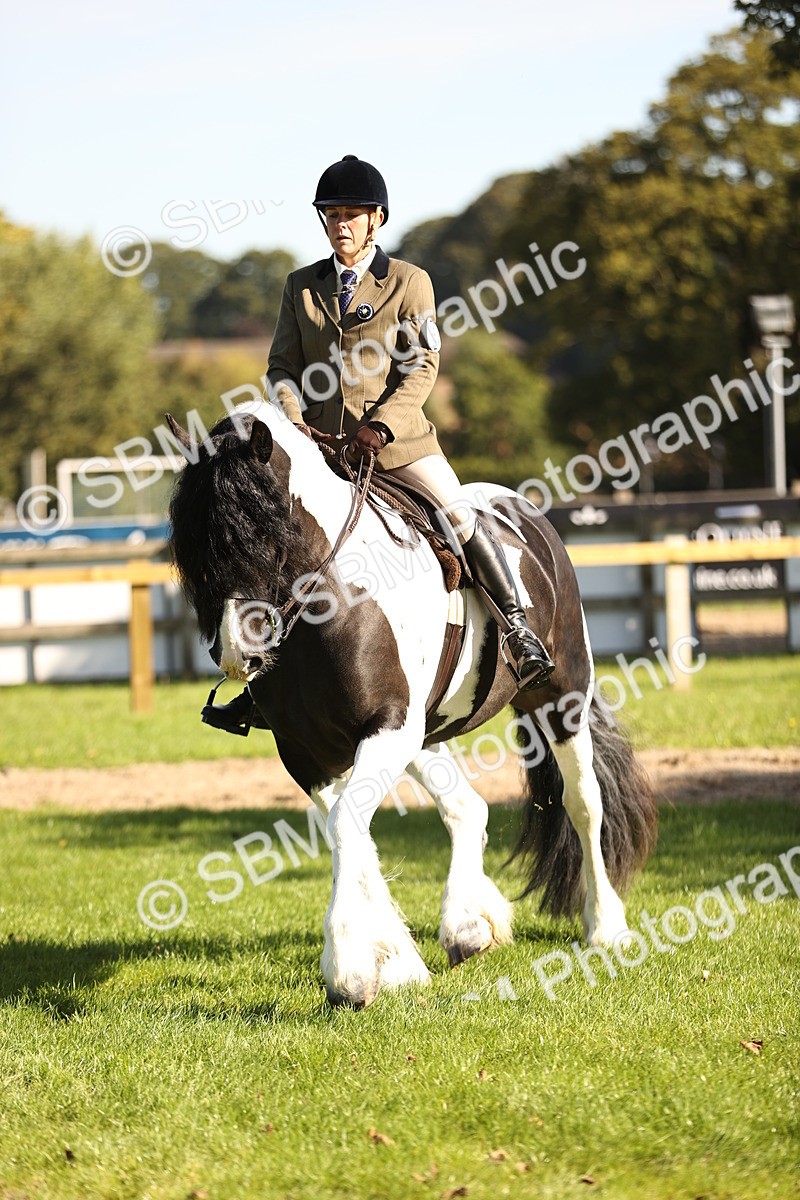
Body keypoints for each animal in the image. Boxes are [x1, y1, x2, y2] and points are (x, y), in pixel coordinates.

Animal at [167, 400, 657, 1008]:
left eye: (263, 527)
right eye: (194, 544)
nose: (238, 650)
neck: (334, 600)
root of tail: (527, 514)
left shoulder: (388, 728)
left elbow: (348, 826)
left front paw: (348, 968)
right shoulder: (307, 752)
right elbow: (349, 831)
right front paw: (396, 962)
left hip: (560, 696)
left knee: (584, 802)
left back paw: (605, 926)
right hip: (424, 735)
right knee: (468, 808)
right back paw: (471, 925)